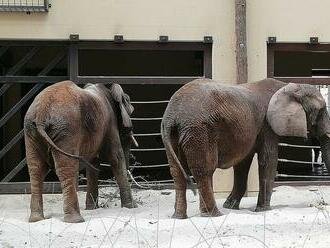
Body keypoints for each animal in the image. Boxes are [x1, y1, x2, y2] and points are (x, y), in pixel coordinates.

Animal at [24, 81, 138, 223]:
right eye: (131, 111)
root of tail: (41, 114)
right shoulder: (110, 123)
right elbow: (116, 157)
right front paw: (132, 207)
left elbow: (93, 164)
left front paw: (92, 208)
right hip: (67, 129)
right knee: (67, 168)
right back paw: (76, 220)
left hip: (31, 131)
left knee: (36, 169)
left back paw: (36, 219)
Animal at [162, 78, 330, 219]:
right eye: (321, 110)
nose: (324, 203)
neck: (289, 86)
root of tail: (172, 115)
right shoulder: (266, 125)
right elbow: (268, 160)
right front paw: (262, 210)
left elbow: (242, 163)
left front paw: (231, 206)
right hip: (199, 130)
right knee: (204, 170)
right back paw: (214, 215)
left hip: (173, 133)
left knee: (177, 172)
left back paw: (179, 217)